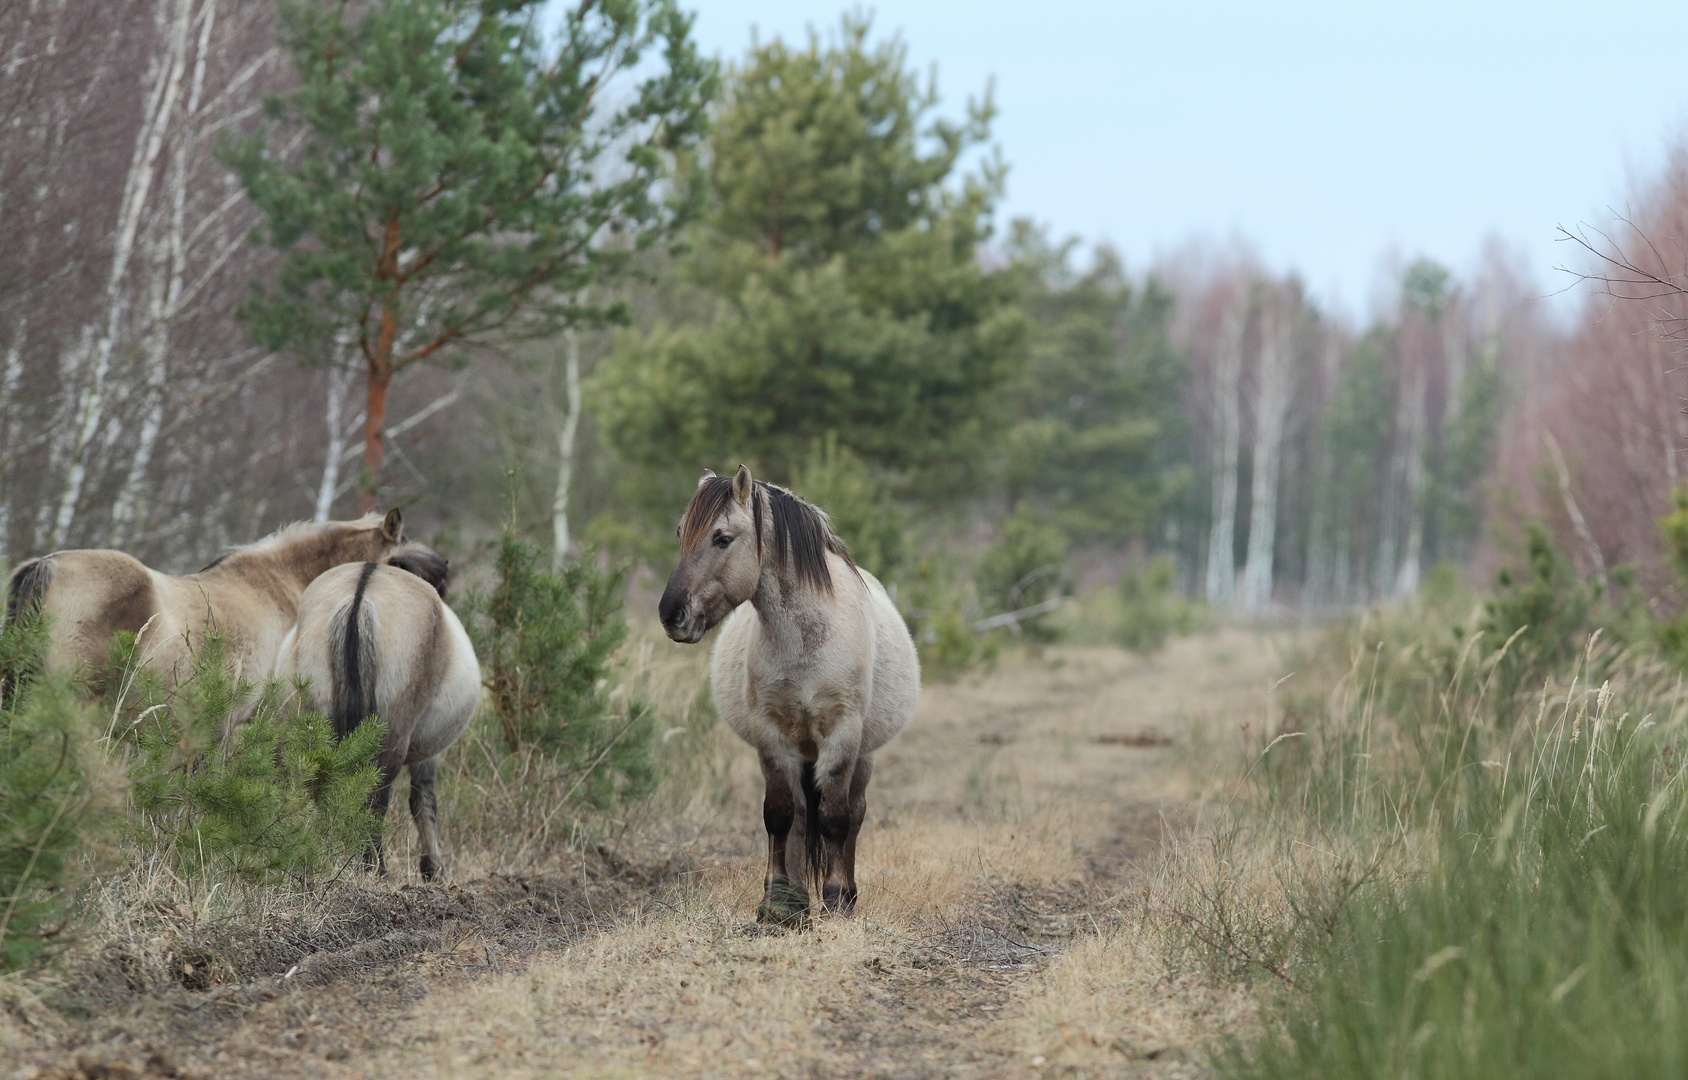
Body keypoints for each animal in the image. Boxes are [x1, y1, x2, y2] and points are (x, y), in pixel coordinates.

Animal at [270, 543, 482, 884]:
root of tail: (359, 597)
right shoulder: (427, 757)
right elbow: (424, 802)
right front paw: (432, 868)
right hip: (392, 736)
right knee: (375, 799)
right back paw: (374, 868)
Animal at [658, 465, 925, 918]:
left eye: (722, 538)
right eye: (681, 533)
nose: (671, 614)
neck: (805, 643)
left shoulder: (842, 734)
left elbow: (835, 817)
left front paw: (835, 899)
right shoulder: (772, 735)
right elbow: (780, 814)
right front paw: (777, 902)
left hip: (863, 755)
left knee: (854, 814)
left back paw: (848, 894)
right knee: (801, 814)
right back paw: (799, 896)